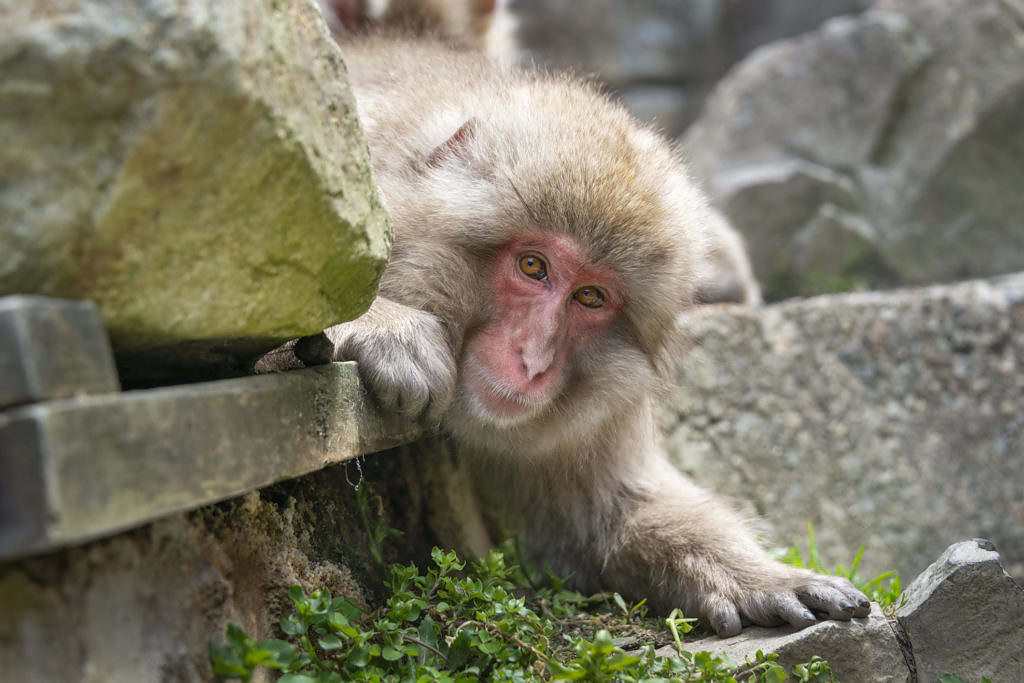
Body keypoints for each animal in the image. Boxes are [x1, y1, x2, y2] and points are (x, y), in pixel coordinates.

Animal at [271, 34, 867, 637]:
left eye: (590, 297)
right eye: (533, 266)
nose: (533, 361)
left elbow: (611, 516)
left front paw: (760, 576)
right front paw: (381, 324)